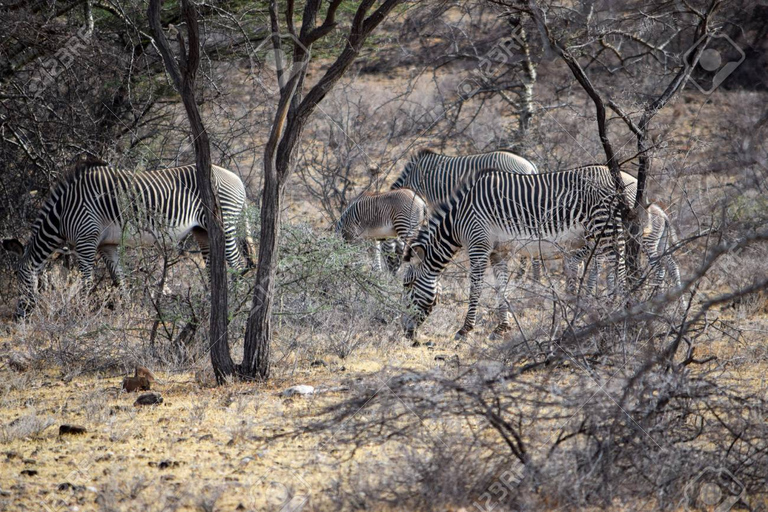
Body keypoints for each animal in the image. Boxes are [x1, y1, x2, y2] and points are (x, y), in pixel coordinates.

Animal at [2, 162, 255, 318]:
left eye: (19, 277)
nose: (18, 316)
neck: (62, 213)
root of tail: (236, 177)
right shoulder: (107, 245)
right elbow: (119, 280)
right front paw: (126, 312)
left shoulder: (86, 240)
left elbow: (86, 281)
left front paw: (81, 313)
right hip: (203, 231)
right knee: (215, 267)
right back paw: (212, 305)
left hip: (225, 223)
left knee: (237, 264)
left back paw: (236, 303)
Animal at [400, 165, 628, 340]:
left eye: (407, 285)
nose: (406, 332)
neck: (458, 219)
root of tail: (616, 175)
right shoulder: (497, 252)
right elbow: (501, 286)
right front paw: (502, 327)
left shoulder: (478, 246)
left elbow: (476, 288)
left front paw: (465, 330)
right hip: (599, 233)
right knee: (609, 265)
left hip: (604, 226)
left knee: (618, 265)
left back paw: (619, 307)